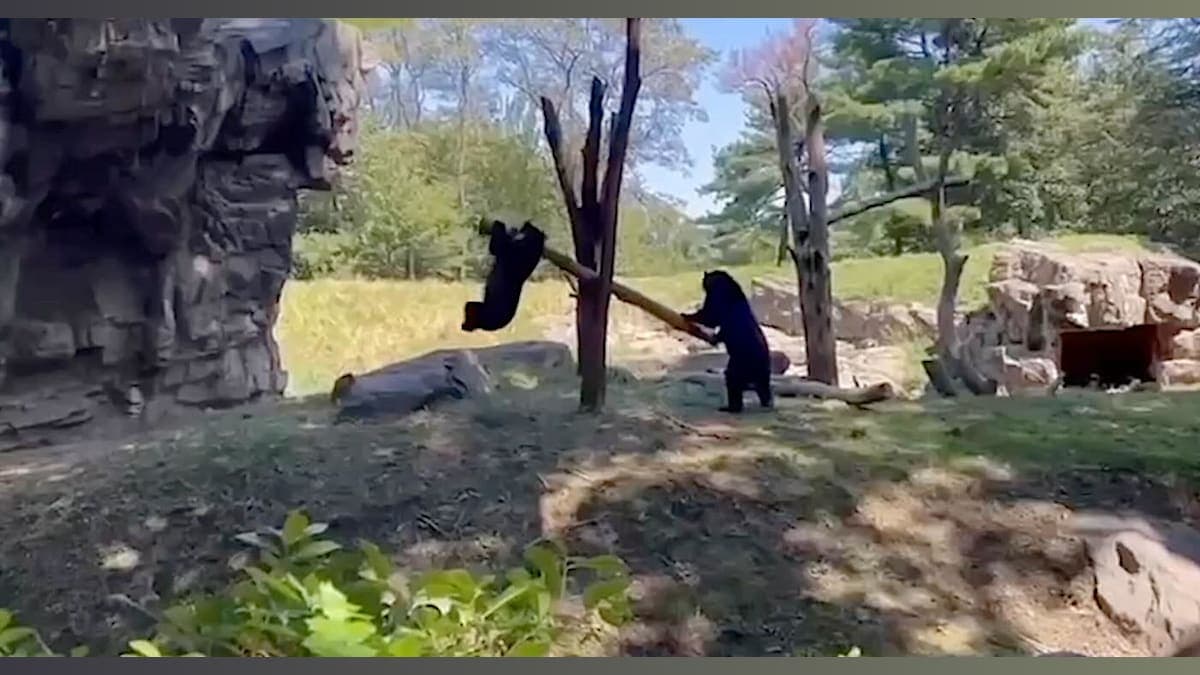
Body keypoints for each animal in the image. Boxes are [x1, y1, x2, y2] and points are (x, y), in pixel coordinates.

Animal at [681, 270, 774, 413]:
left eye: (704, 280)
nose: (702, 282)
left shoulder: (718, 298)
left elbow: (711, 315)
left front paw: (686, 315)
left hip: (741, 362)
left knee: (732, 379)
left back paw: (731, 407)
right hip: (760, 372)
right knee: (763, 387)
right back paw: (767, 402)